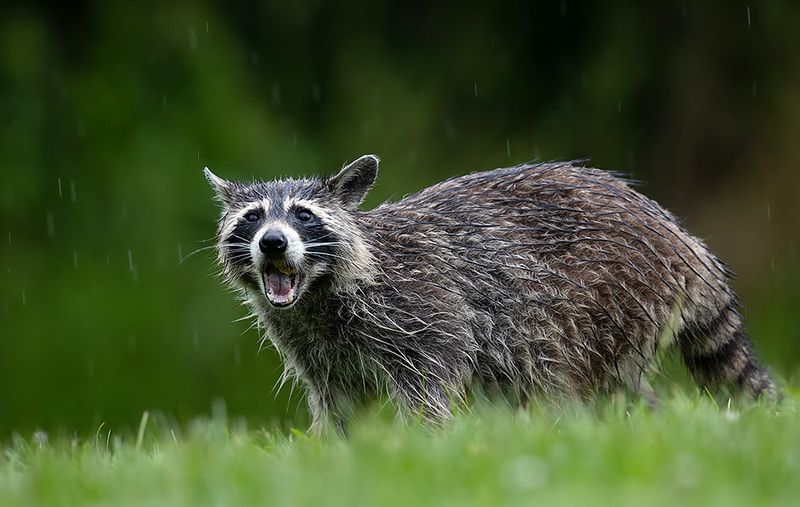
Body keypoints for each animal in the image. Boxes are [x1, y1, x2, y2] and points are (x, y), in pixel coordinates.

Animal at [205, 155, 776, 432]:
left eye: (304, 215)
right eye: (252, 218)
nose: (273, 242)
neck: (316, 295)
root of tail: (682, 238)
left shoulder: (423, 306)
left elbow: (429, 388)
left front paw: (425, 446)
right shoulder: (320, 351)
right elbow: (341, 407)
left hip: (603, 294)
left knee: (562, 374)